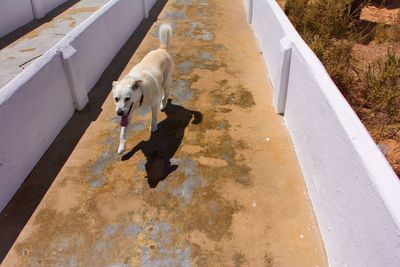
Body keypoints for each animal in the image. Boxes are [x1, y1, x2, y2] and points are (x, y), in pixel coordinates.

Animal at [111, 24, 173, 154]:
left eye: (127, 98)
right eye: (116, 99)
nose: (119, 113)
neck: (141, 93)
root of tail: (162, 49)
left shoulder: (153, 103)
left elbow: (154, 117)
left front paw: (153, 127)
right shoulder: (127, 113)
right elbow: (122, 131)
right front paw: (121, 146)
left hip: (165, 82)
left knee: (166, 93)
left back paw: (163, 104)